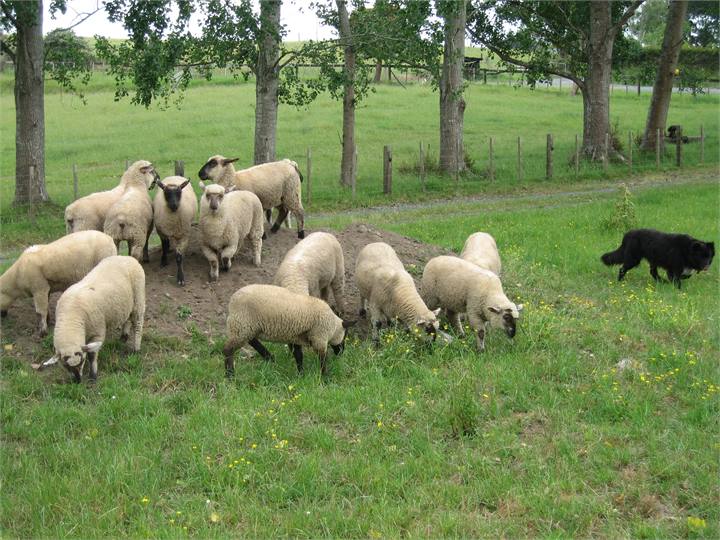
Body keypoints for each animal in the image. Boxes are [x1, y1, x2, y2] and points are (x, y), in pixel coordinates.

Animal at [223, 284, 355, 377]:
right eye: (345, 336)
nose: (341, 353)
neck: (332, 326)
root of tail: (232, 301)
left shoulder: (296, 336)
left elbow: (298, 355)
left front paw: (301, 374)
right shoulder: (319, 337)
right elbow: (323, 359)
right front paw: (325, 377)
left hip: (247, 326)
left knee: (251, 340)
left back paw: (269, 357)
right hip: (242, 324)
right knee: (228, 349)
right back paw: (230, 375)